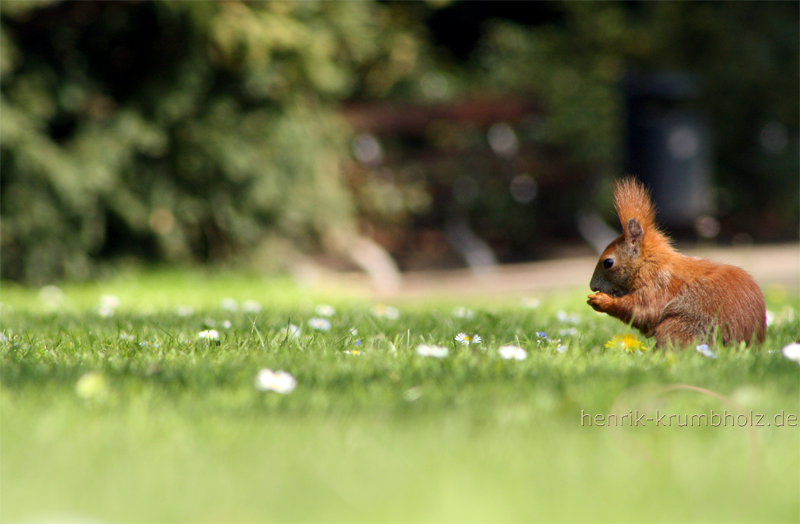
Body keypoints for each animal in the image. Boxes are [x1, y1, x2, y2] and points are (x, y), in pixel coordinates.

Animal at [588, 179, 768, 348]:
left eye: (608, 262)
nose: (593, 286)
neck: (648, 264)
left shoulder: (657, 286)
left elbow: (642, 311)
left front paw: (601, 300)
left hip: (681, 328)